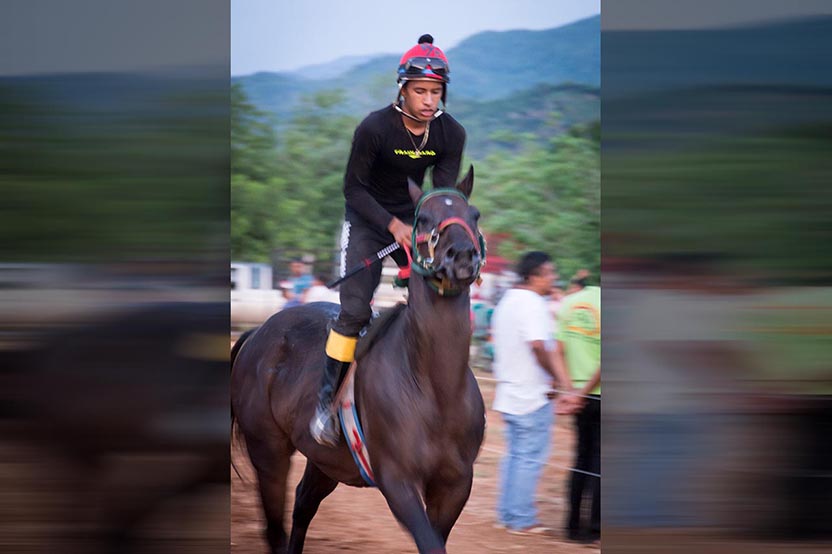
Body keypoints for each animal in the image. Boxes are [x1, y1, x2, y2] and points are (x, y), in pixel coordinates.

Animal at [231, 166, 486, 554]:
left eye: (474, 215)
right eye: (424, 219)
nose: (462, 256)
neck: (435, 387)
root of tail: (256, 334)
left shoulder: (455, 486)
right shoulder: (398, 482)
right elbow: (427, 542)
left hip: (324, 461)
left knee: (302, 505)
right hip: (269, 452)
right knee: (274, 528)